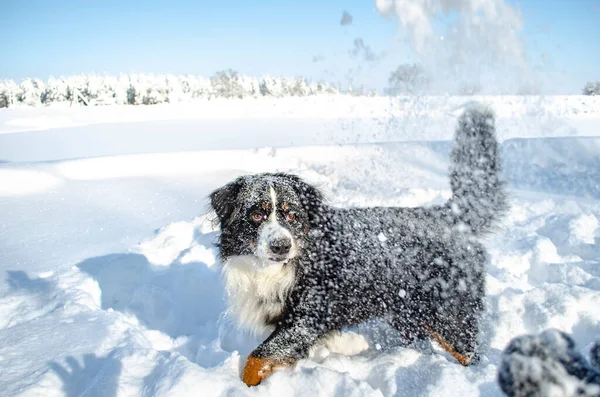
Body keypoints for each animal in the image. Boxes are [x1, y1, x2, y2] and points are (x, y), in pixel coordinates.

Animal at [210, 104, 506, 384]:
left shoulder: (307, 316)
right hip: (407, 310)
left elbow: (255, 360)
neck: (272, 270)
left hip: (447, 312)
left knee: (468, 350)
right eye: (256, 215)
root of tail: (447, 216)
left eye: (292, 215)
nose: (281, 245)